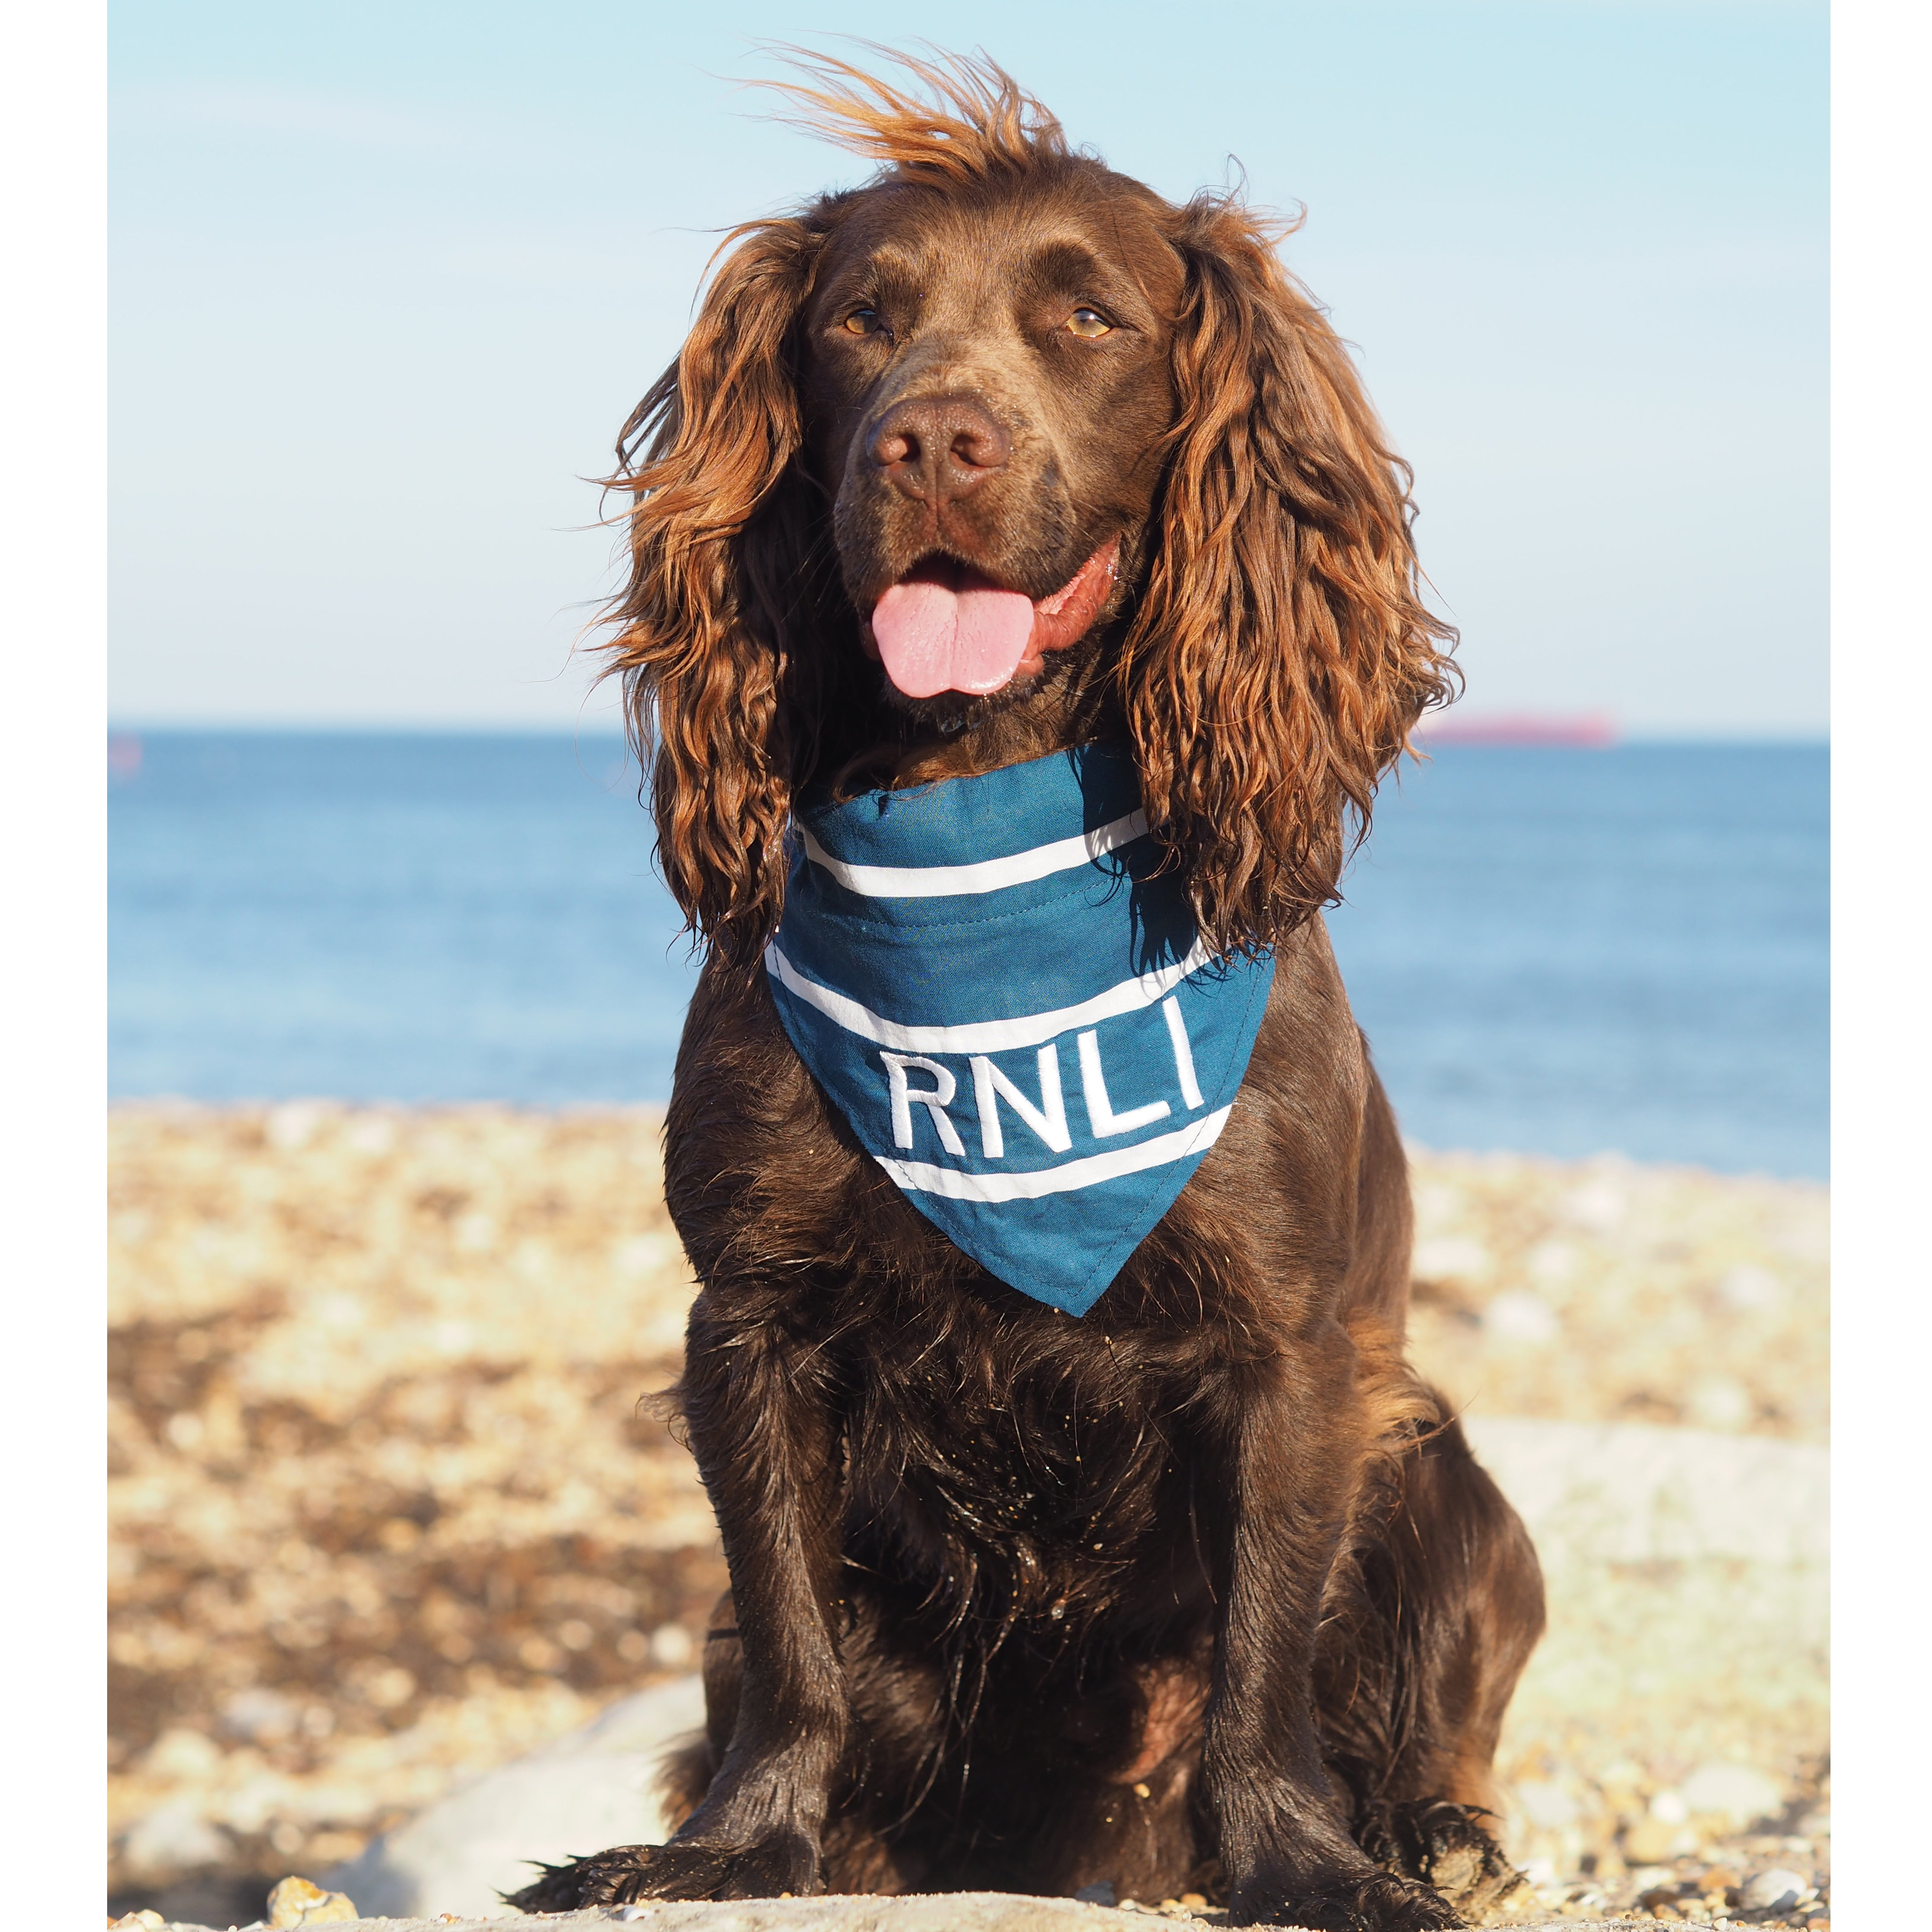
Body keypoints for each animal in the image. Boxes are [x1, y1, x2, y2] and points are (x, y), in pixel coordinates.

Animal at [514, 53, 1538, 1924]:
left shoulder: (1290, 1345)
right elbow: (786, 1635)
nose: (931, 439)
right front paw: (728, 1848)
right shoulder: (747, 1317)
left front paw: (1306, 1861)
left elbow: (1266, 1652)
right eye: (857, 321)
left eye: (1087, 315)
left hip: (1445, 1471)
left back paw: (1429, 1826)